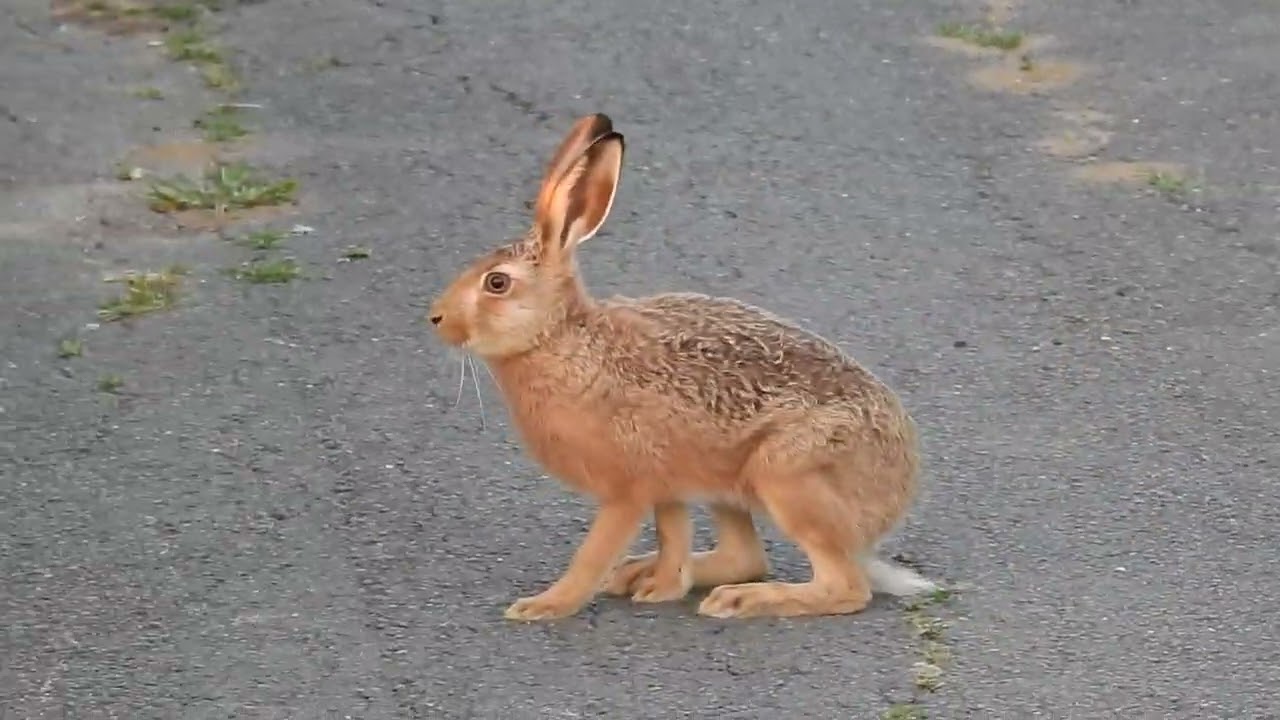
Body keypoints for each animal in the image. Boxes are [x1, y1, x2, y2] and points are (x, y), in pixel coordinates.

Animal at [428, 113, 938, 621]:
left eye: (497, 283)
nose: (436, 318)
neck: (558, 338)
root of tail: (895, 493)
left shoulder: (629, 487)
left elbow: (593, 553)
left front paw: (545, 605)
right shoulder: (667, 484)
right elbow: (672, 533)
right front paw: (662, 586)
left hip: (787, 475)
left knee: (843, 586)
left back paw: (742, 599)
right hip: (728, 484)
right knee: (745, 557)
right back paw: (645, 573)